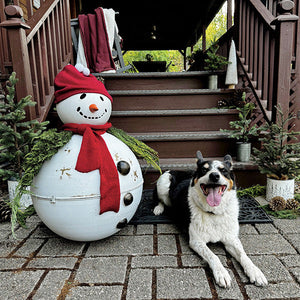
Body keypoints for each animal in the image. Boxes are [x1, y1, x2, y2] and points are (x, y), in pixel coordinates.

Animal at [154, 152, 268, 288]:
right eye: (204, 170)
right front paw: (221, 273)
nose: (214, 175)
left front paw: (255, 271)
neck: (214, 213)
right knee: (160, 200)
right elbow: (213, 256)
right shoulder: (196, 241)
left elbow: (243, 255)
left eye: (223, 170)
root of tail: (173, 170)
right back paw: (158, 208)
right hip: (163, 184)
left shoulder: (231, 239)